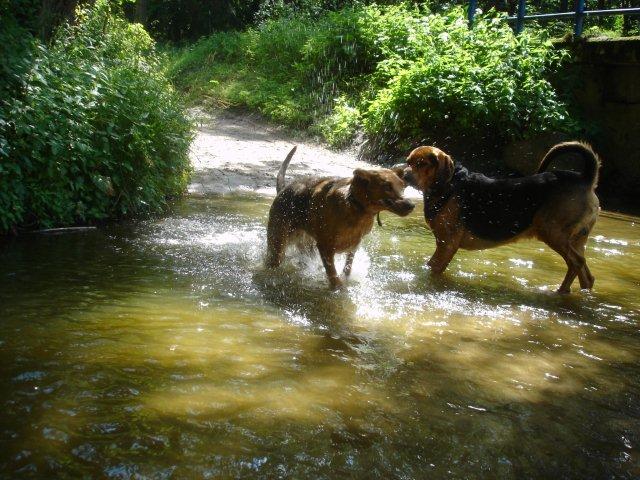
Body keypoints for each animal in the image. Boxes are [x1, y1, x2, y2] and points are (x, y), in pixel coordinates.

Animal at [264, 146, 416, 288]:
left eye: (402, 186)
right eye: (387, 186)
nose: (411, 205)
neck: (356, 208)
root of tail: (282, 190)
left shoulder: (353, 246)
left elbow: (347, 268)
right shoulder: (325, 247)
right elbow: (333, 276)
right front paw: (339, 290)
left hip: (307, 247)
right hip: (277, 246)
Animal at [402, 141, 604, 294]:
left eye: (422, 163)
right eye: (408, 162)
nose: (404, 176)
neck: (448, 185)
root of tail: (585, 179)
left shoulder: (447, 244)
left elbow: (433, 268)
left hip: (554, 233)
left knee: (577, 263)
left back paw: (560, 292)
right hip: (576, 240)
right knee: (587, 275)